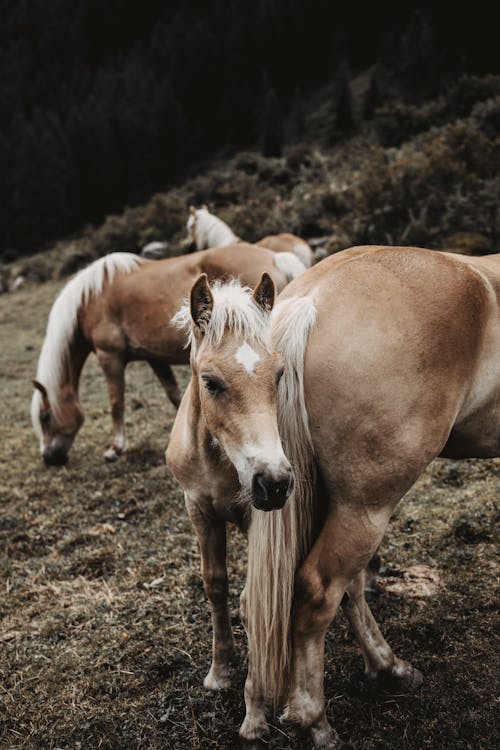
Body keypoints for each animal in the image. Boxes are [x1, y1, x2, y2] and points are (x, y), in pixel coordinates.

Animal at [33, 244, 304, 468]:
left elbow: (116, 403)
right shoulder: (155, 358)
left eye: (46, 417)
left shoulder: (109, 356)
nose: (48, 457)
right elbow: (173, 393)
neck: (90, 298)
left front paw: (115, 449)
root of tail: (275, 256)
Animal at [167, 248, 500, 750]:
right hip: (365, 506)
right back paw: (320, 716)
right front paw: (228, 681)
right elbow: (225, 587)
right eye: (210, 381)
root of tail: (312, 296)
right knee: (318, 589)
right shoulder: (202, 507)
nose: (273, 481)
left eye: (278, 376)